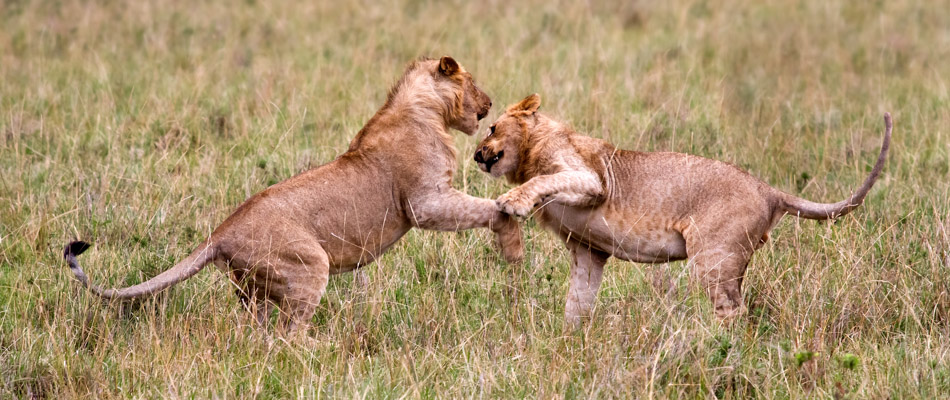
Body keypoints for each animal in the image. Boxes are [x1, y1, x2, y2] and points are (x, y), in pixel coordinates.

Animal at [63, 56, 524, 336]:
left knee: (260, 335)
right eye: (472, 81)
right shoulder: (425, 203)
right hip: (308, 265)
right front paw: (511, 226)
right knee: (288, 337)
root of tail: (219, 234)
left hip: (256, 291)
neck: (426, 110)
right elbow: (481, 209)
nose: (489, 102)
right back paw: (323, 354)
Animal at [473, 94, 891, 327]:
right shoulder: (588, 251)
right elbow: (578, 303)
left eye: (491, 128)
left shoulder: (592, 180)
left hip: (713, 259)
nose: (476, 154)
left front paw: (513, 202)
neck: (528, 154)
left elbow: (544, 181)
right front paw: (570, 343)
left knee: (733, 313)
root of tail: (768, 189)